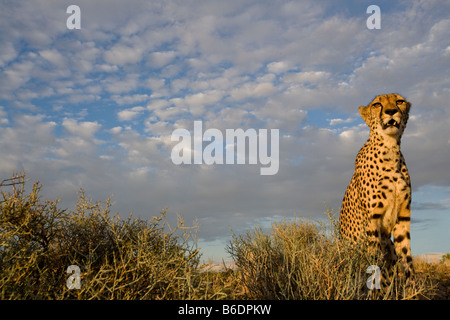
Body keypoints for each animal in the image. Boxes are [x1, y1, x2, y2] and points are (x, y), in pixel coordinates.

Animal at [340, 92, 414, 278]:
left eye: (399, 101)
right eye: (377, 105)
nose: (391, 111)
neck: (391, 149)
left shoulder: (403, 217)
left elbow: (407, 260)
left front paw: (412, 286)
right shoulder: (372, 220)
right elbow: (374, 261)